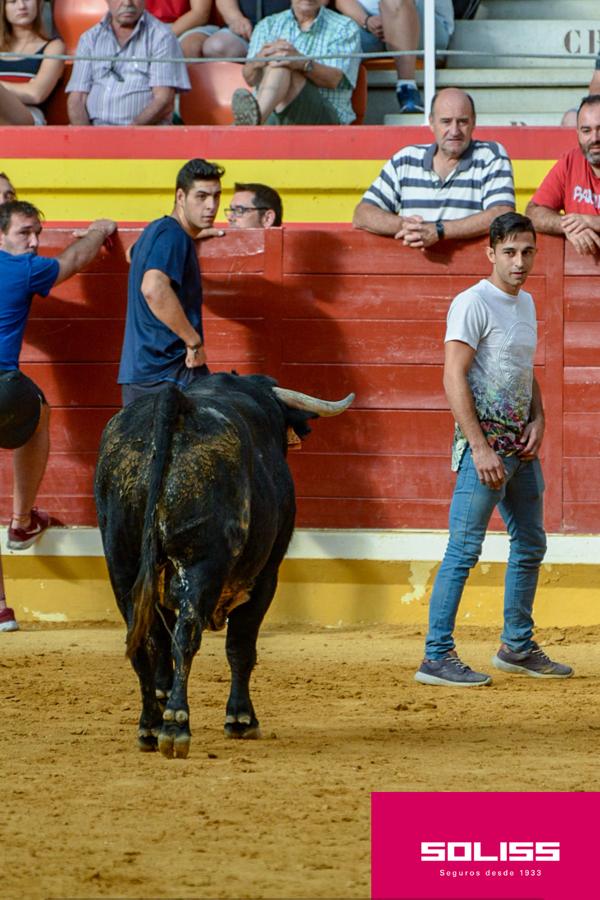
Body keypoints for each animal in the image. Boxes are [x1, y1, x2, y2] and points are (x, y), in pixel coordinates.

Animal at [94, 372, 354, 760]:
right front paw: (241, 719)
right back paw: (176, 726)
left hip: (122, 563)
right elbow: (241, 646)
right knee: (187, 636)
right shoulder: (265, 577)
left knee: (143, 643)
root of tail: (176, 404)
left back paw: (149, 726)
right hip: (199, 562)